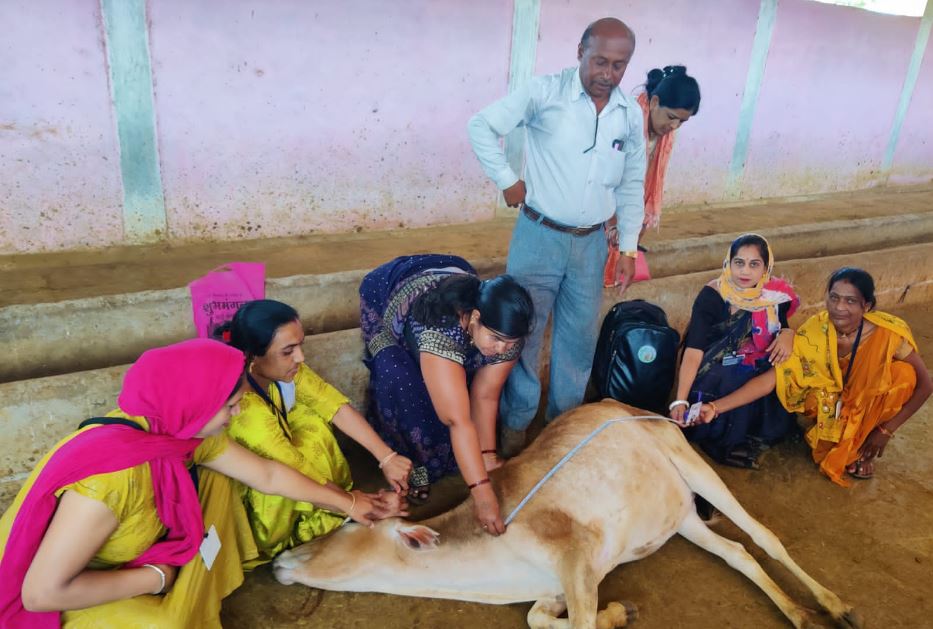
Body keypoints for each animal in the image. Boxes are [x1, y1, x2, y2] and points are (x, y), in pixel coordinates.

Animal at [272, 402, 860, 628]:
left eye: (352, 523)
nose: (281, 561)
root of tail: (625, 406)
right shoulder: (557, 585)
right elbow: (539, 618)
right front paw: (623, 611)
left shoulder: (575, 554)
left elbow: (576, 621)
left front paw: (618, 612)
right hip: (682, 517)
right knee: (738, 553)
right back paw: (799, 613)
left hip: (692, 462)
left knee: (766, 537)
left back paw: (835, 606)